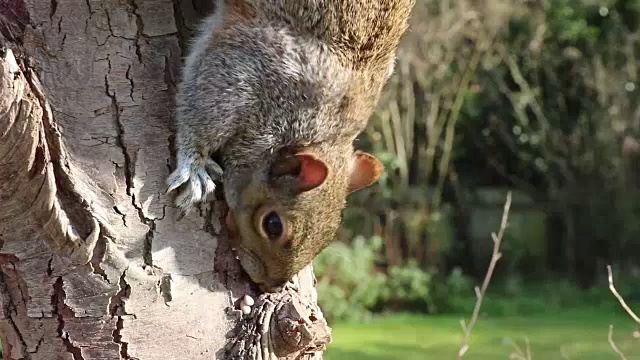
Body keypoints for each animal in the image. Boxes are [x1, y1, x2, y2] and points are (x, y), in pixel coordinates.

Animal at [165, 0, 416, 292]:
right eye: (273, 225)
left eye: (330, 235)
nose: (270, 285)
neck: (322, 135)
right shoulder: (244, 69)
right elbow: (202, 111)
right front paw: (194, 166)